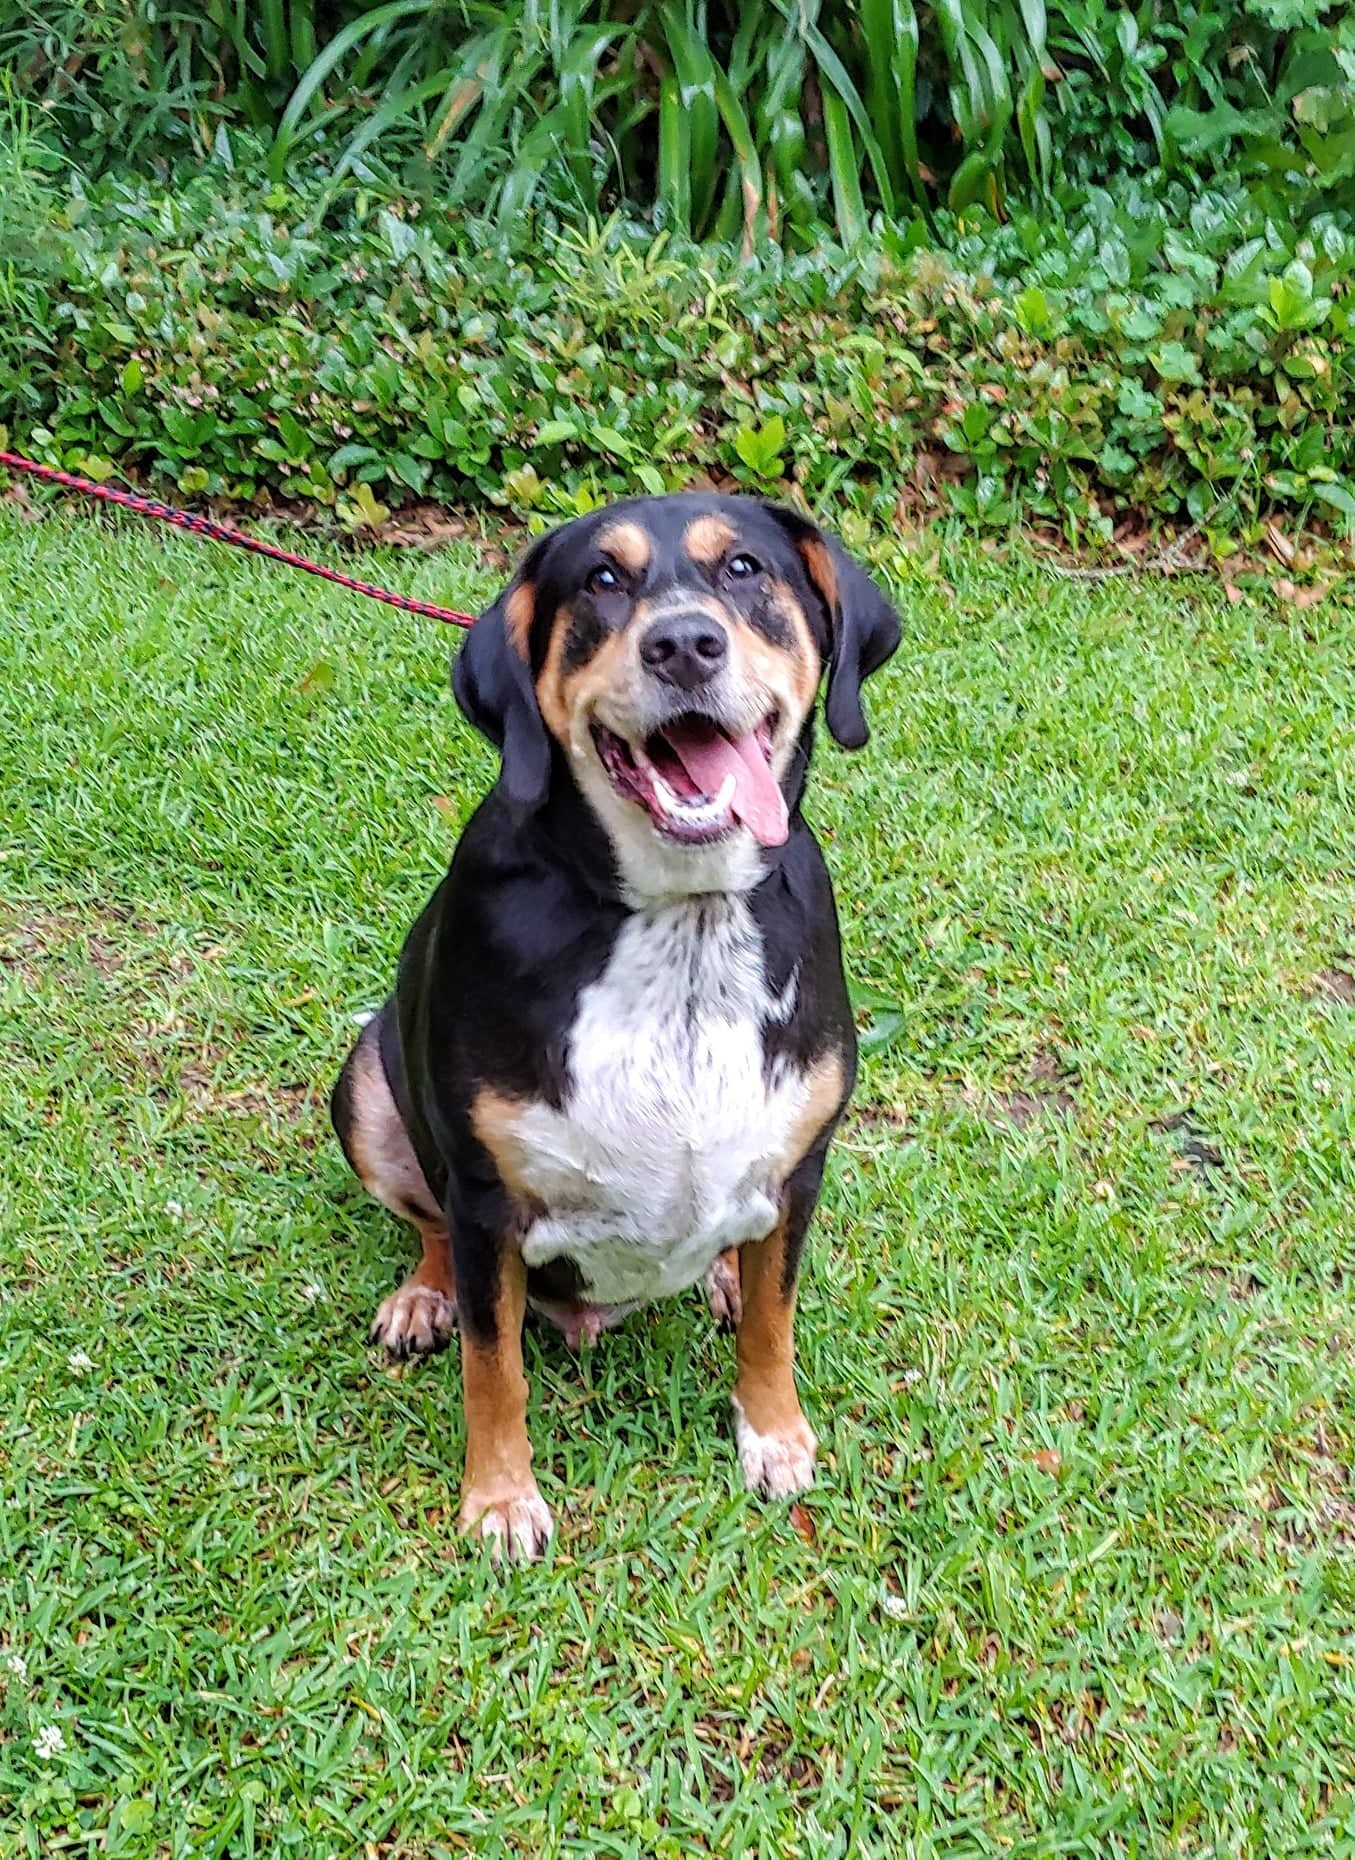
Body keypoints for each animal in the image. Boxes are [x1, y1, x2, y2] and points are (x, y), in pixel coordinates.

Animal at [327, 491, 900, 1554]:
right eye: (601, 580)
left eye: (744, 568)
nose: (683, 645)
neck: (682, 917)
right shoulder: (485, 1200)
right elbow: (492, 1365)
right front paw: (500, 1499)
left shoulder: (801, 1162)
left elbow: (774, 1318)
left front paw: (773, 1434)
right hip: (366, 1083)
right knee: (422, 1222)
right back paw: (422, 1296)